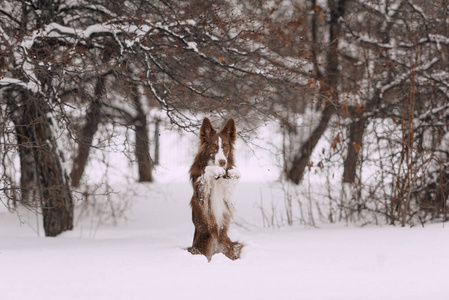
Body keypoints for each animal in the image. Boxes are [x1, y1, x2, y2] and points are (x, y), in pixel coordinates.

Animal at [186, 116, 242, 260]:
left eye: (226, 146)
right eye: (213, 147)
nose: (222, 162)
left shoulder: (227, 195)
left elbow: (231, 178)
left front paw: (232, 172)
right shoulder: (201, 193)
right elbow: (206, 172)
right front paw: (216, 170)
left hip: (233, 247)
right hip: (199, 247)